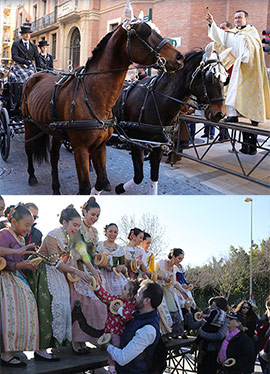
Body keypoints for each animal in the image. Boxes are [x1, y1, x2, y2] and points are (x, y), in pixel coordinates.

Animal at [21, 18, 184, 194]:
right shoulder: (80, 149)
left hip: (56, 131)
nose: (179, 57)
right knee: (29, 148)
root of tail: (35, 75)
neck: (93, 96)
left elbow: (101, 181)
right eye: (145, 32)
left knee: (54, 156)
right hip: (29, 123)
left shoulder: (100, 146)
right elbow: (85, 187)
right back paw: (32, 176)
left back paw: (56, 187)